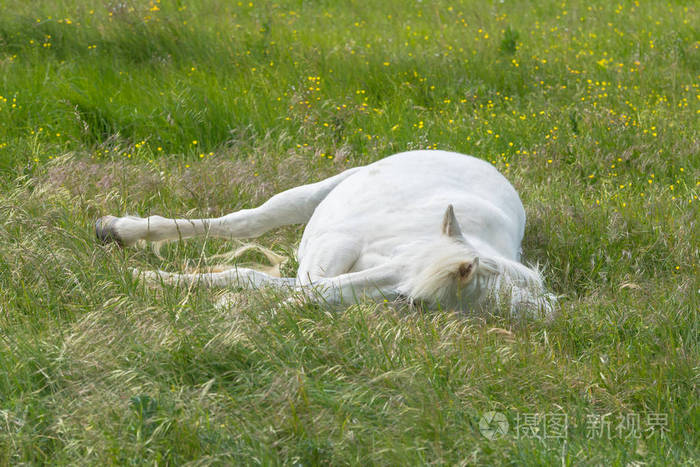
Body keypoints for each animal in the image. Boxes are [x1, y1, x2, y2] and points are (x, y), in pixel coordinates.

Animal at [96, 150, 556, 317]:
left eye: (411, 303)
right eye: (396, 259)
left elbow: (266, 281)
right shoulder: (340, 243)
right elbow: (305, 280)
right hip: (315, 195)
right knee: (243, 222)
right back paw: (116, 230)